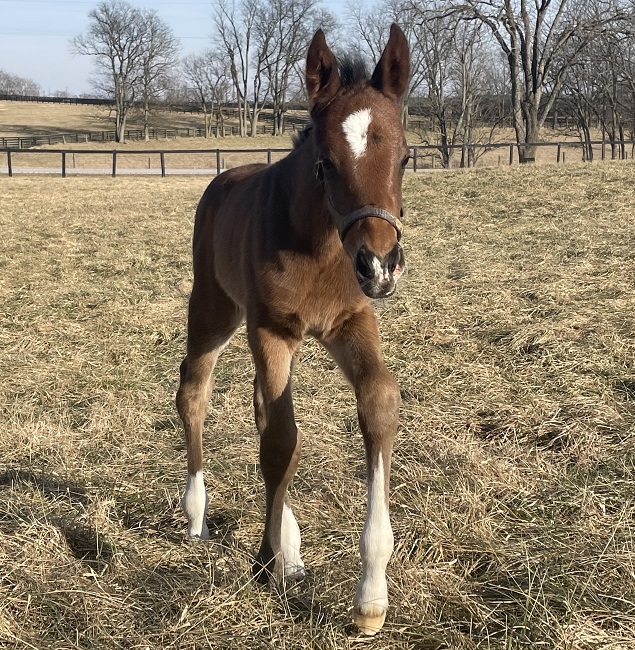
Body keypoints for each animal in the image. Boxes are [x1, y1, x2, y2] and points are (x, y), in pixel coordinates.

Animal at [175, 25, 412, 632]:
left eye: (405, 156)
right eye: (324, 163)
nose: (380, 265)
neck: (322, 246)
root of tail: (224, 178)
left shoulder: (351, 319)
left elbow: (379, 400)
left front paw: (371, 594)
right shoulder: (272, 329)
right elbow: (281, 441)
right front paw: (265, 562)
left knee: (262, 406)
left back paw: (292, 544)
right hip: (215, 310)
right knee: (195, 391)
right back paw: (197, 516)